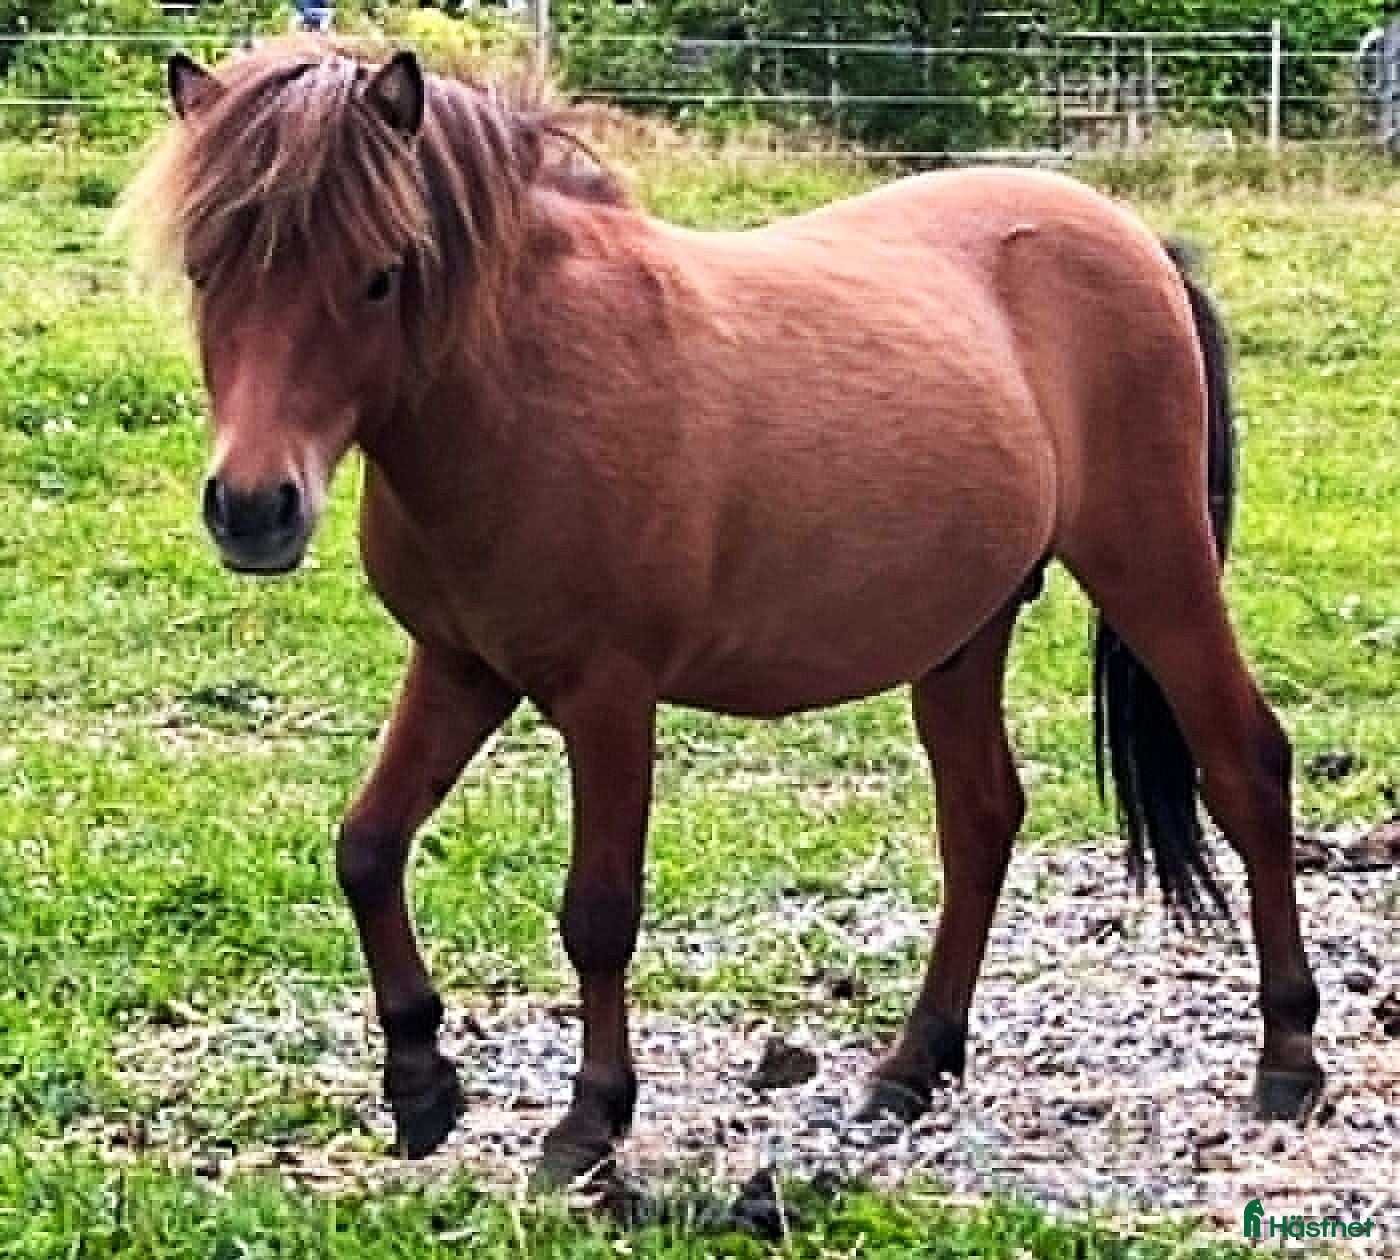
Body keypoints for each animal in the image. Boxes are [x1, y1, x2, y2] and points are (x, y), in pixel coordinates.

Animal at [123, 40, 1324, 1183]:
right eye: (206, 270)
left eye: (380, 278)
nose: (253, 509)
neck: (525, 385)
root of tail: (1136, 243)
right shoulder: (460, 666)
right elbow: (366, 849)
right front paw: (421, 1082)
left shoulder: (608, 698)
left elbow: (598, 913)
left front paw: (588, 1123)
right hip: (964, 629)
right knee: (981, 817)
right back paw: (912, 1065)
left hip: (1155, 571)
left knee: (1245, 767)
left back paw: (1288, 1059)